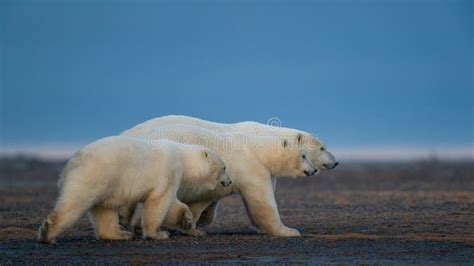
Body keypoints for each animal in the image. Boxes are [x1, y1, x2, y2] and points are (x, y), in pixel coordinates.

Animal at [38, 137, 231, 243]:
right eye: (224, 167)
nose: (229, 181)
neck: (182, 157)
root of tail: (71, 162)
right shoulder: (169, 172)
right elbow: (159, 201)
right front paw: (158, 234)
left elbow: (171, 203)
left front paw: (187, 220)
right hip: (94, 175)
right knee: (74, 203)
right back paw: (48, 233)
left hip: (107, 183)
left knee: (104, 210)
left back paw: (119, 234)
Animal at [121, 115, 336, 236]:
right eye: (322, 148)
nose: (335, 162)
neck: (259, 145)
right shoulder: (250, 168)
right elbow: (262, 202)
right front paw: (288, 231)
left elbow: (204, 201)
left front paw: (195, 225)